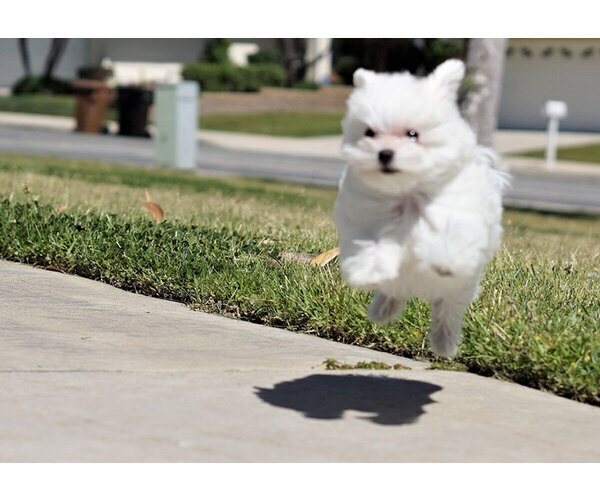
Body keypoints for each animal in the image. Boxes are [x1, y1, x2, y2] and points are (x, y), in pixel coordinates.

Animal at [332, 58, 506, 358]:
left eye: (413, 134)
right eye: (369, 132)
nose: (385, 154)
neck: (407, 192)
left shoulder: (455, 213)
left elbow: (447, 235)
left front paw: (444, 260)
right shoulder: (370, 217)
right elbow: (373, 244)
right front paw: (369, 271)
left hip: (459, 288)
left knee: (447, 310)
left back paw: (444, 342)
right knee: (393, 290)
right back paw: (382, 310)